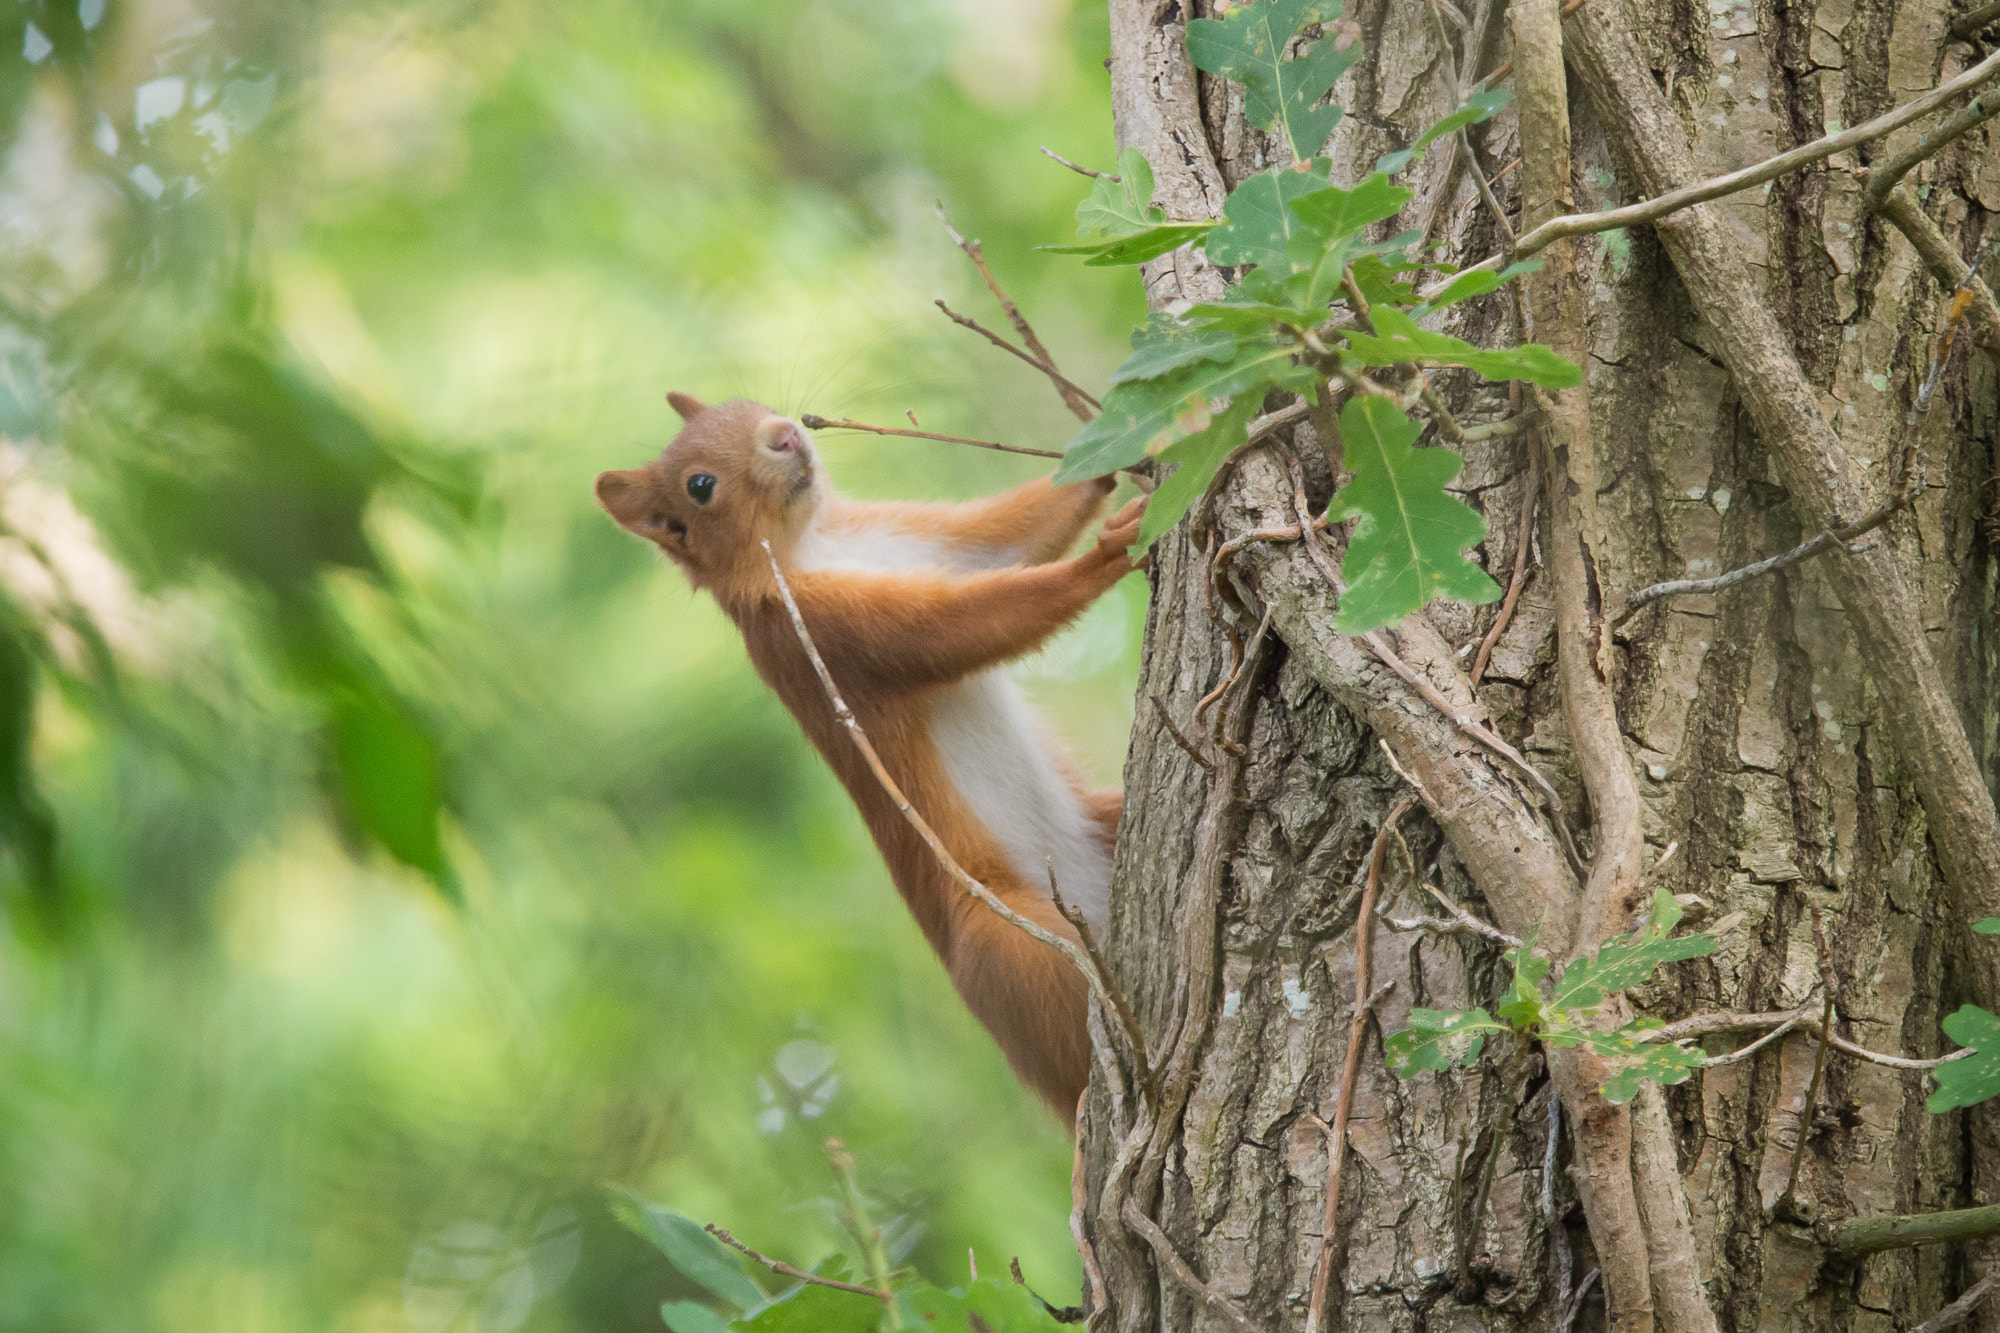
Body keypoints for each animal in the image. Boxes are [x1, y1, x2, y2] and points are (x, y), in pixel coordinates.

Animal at [592, 392, 1144, 1112]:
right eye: (700, 487)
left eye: (745, 404)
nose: (784, 435)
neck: (819, 540)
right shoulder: (823, 633)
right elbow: (965, 624)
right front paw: (1108, 554)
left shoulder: (922, 540)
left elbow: (1010, 535)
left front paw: (1128, 438)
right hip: (1007, 945)